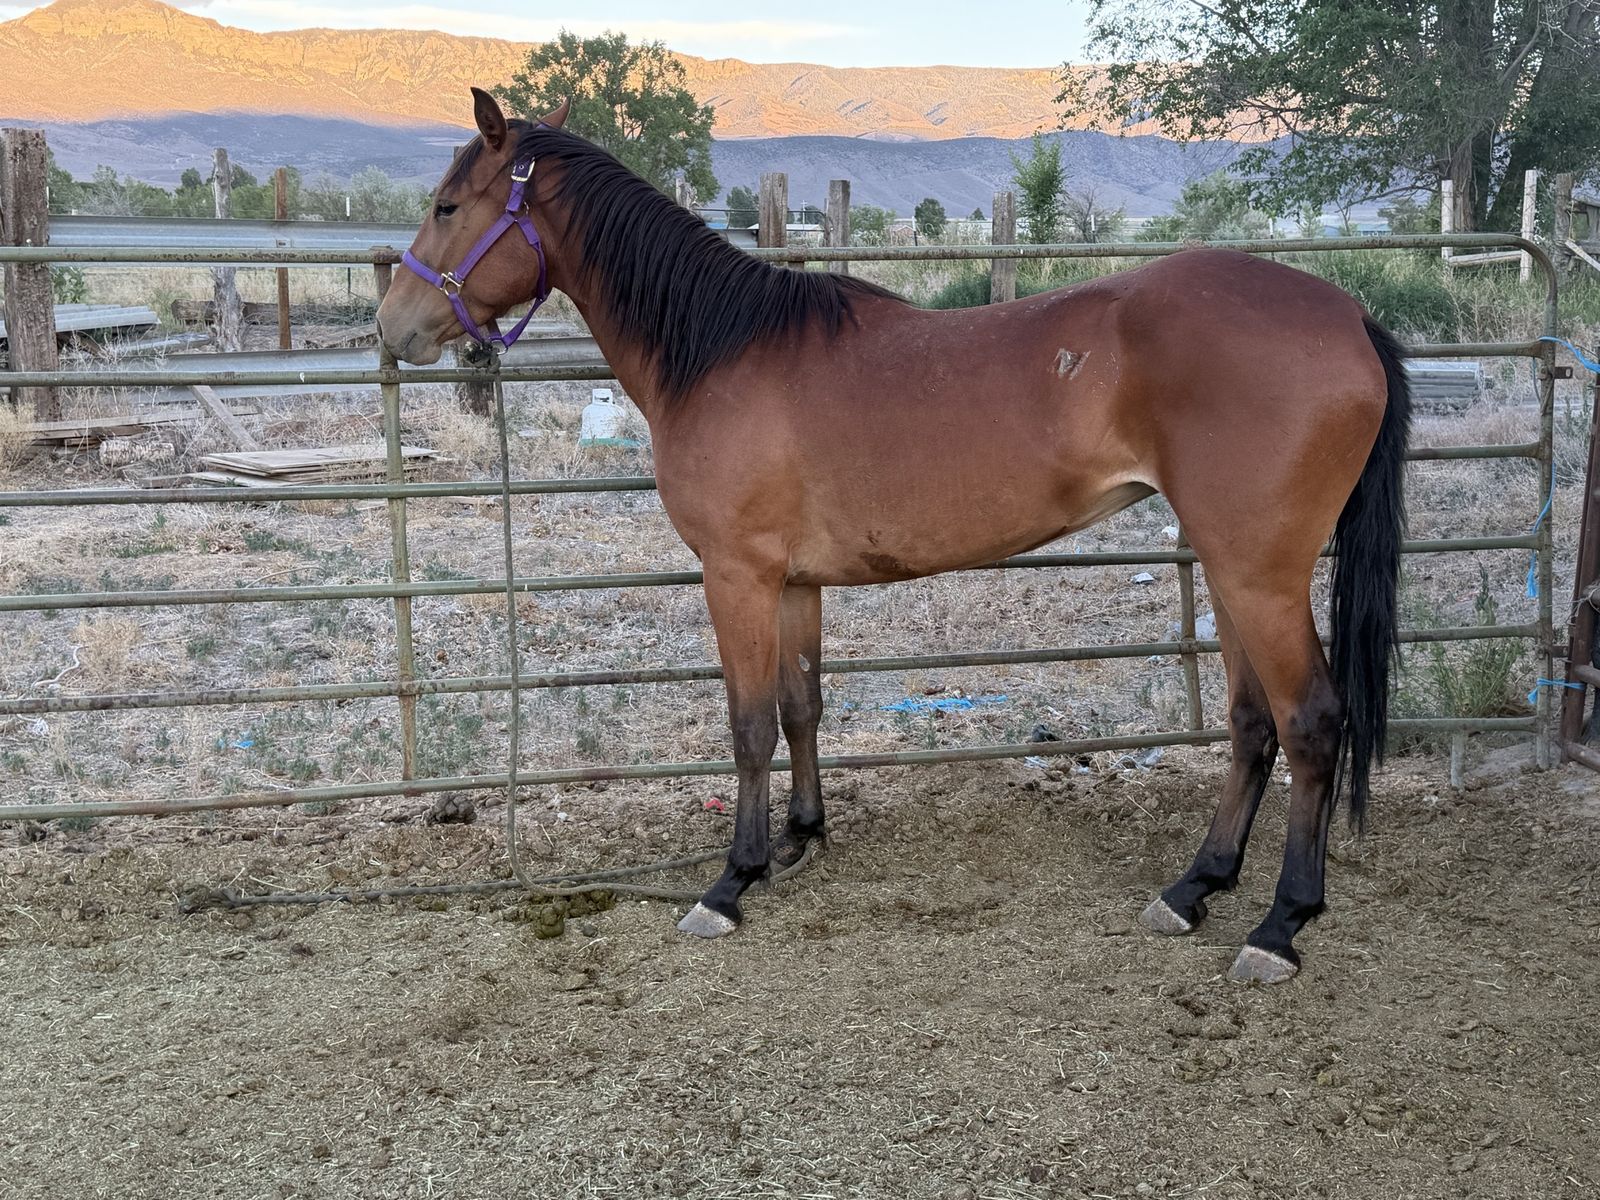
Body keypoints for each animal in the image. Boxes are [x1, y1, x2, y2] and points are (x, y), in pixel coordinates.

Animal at [376, 89, 1410, 985]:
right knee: (1250, 724)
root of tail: (1349, 315)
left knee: (1310, 723)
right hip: (1229, 567)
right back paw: (1195, 888)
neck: (721, 350)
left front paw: (732, 880)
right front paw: (800, 839)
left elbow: (748, 724)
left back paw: (1279, 926)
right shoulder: (793, 583)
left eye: (448, 205)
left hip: (1259, 573)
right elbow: (800, 708)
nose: (392, 328)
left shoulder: (736, 576)